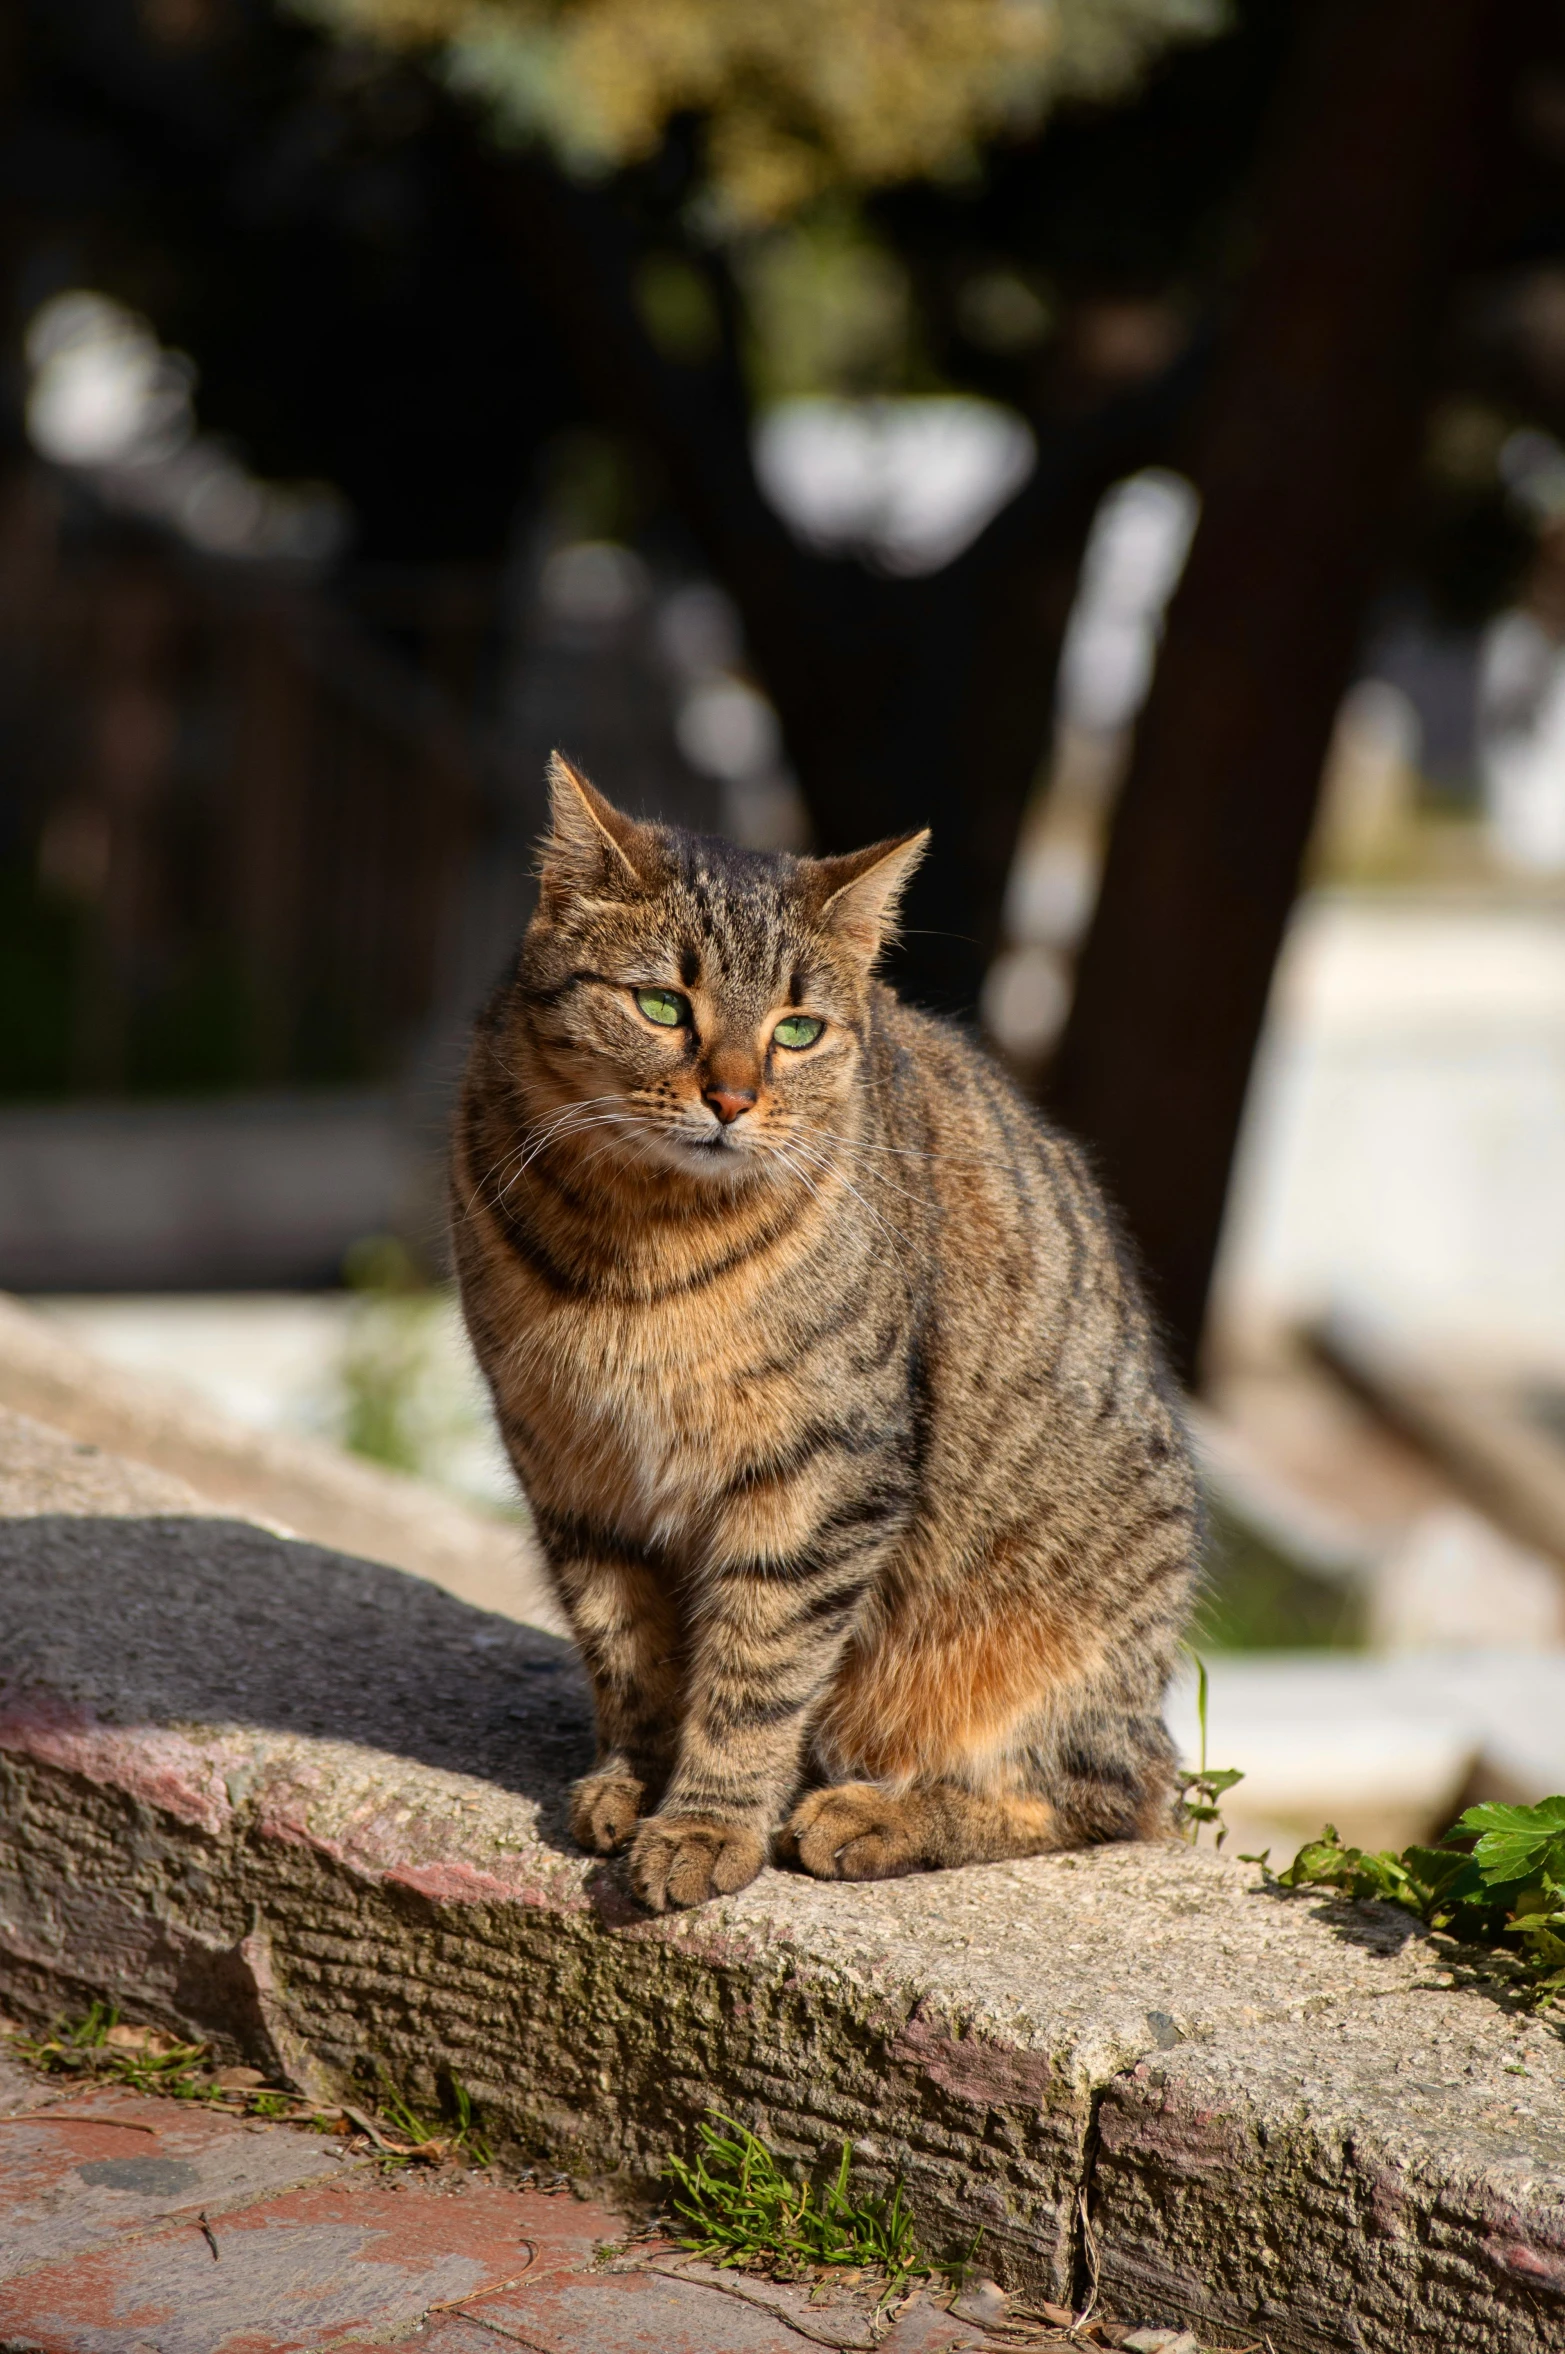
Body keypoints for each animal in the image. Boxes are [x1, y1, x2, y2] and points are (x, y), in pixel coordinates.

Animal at [451, 753, 1195, 1911]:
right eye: (661, 1004)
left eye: (796, 1030)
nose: (730, 1096)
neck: (637, 1240)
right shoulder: (573, 1467)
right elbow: (626, 1651)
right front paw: (637, 1778)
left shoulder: (822, 1472)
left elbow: (757, 1669)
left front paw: (706, 1822)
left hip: (1052, 1640)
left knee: (1114, 1791)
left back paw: (874, 1814)